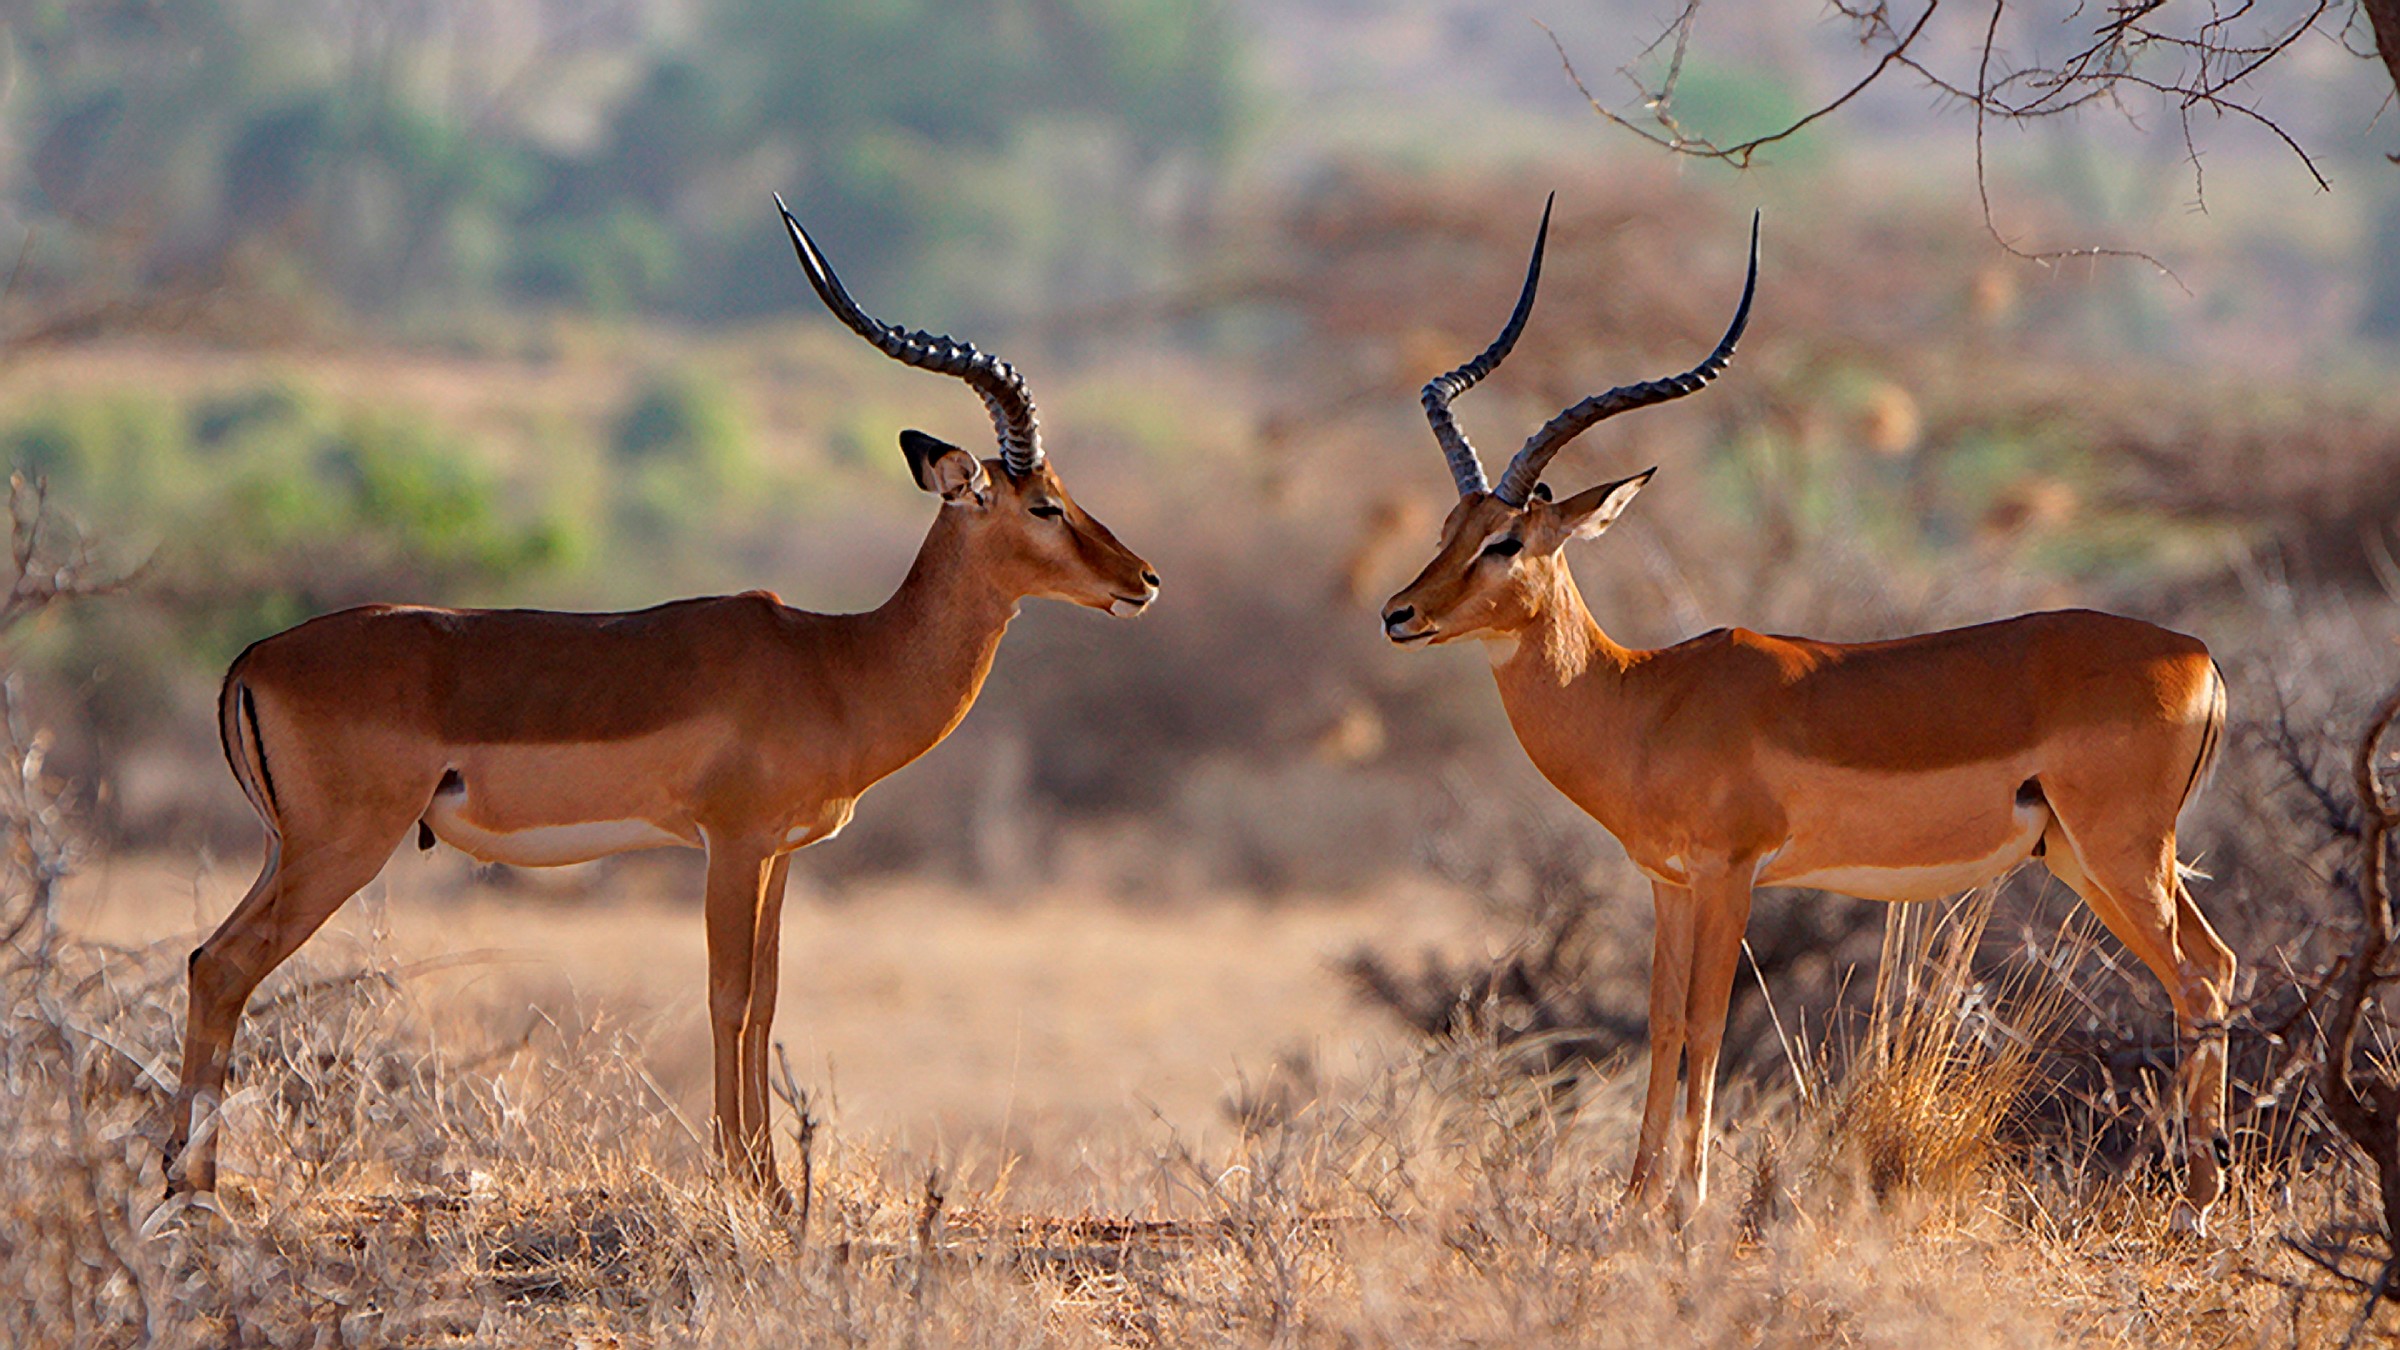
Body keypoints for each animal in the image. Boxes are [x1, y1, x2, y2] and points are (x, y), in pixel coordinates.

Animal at [166, 198, 1160, 1207]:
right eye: (1043, 504)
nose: (1144, 580)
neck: (838, 662)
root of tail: (251, 658)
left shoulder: (782, 855)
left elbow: (768, 999)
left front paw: (768, 1183)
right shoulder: (734, 843)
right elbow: (730, 999)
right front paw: (747, 1183)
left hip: (287, 848)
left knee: (206, 959)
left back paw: (181, 1181)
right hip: (342, 847)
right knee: (228, 966)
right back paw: (193, 1189)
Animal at [1380, 199, 2235, 1226]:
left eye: (1506, 541)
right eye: (1448, 530)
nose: (1399, 614)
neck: (1642, 697)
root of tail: (2197, 655)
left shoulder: (1731, 875)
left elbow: (1709, 1023)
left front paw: (1690, 1203)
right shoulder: (1667, 883)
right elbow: (1661, 1024)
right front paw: (1634, 1202)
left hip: (2121, 852)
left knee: (2199, 979)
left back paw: (2198, 1206)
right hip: (2084, 857)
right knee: (2215, 966)